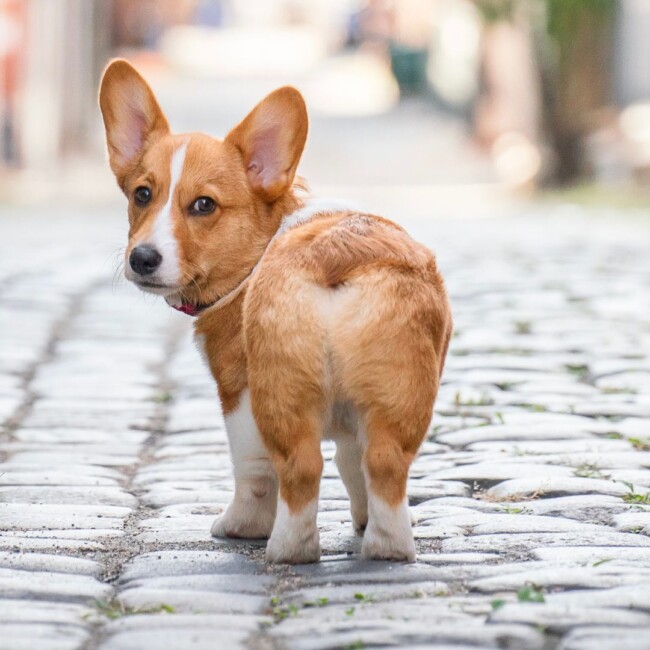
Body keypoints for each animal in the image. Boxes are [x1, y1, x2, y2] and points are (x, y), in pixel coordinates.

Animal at [100, 58, 450, 560]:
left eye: (203, 205)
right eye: (142, 194)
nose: (142, 259)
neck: (264, 240)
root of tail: (336, 256)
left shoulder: (236, 393)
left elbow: (254, 471)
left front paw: (241, 525)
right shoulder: (353, 422)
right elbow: (353, 466)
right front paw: (361, 521)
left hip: (277, 394)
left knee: (297, 468)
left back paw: (282, 547)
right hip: (397, 394)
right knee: (382, 464)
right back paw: (388, 548)